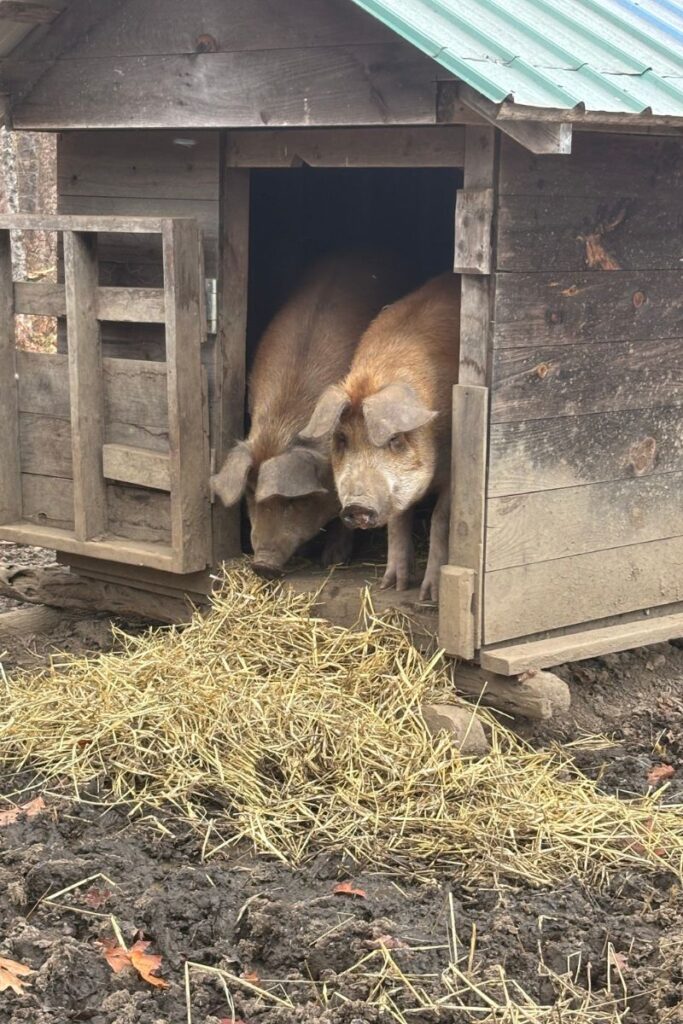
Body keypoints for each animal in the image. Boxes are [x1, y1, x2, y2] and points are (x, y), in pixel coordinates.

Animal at [300, 273, 460, 601]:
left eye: (395, 439)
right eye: (341, 440)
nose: (356, 505)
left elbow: (441, 518)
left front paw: (428, 596)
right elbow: (398, 521)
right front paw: (393, 585)